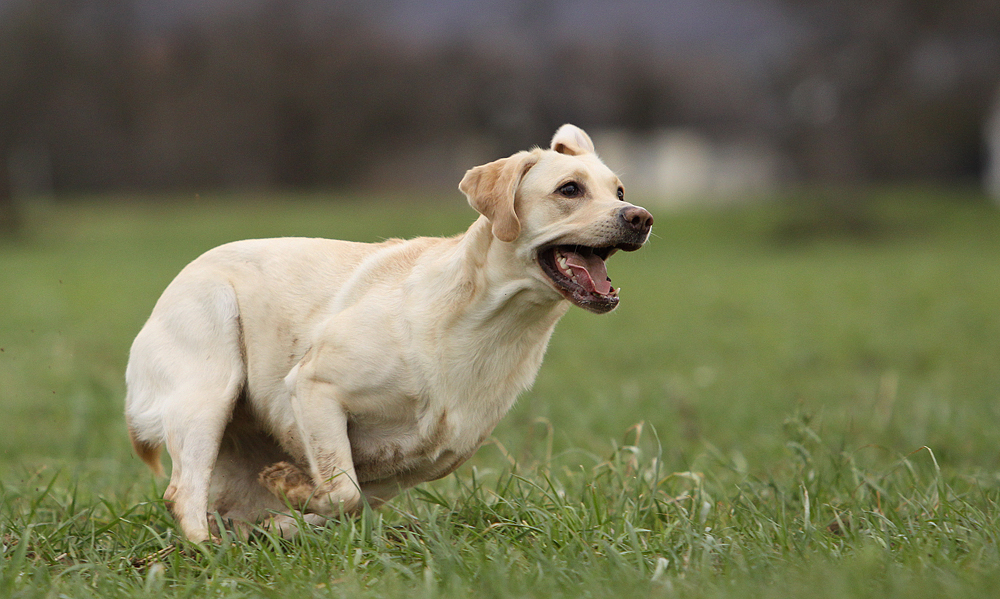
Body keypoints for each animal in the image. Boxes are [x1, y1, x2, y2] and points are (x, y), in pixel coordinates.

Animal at [125, 124, 652, 540]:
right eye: (569, 190)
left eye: (619, 191)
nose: (641, 217)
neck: (487, 325)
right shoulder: (314, 387)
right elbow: (340, 489)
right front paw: (292, 486)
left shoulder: (413, 466)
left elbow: (346, 500)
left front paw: (288, 506)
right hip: (209, 391)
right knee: (183, 494)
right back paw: (207, 553)